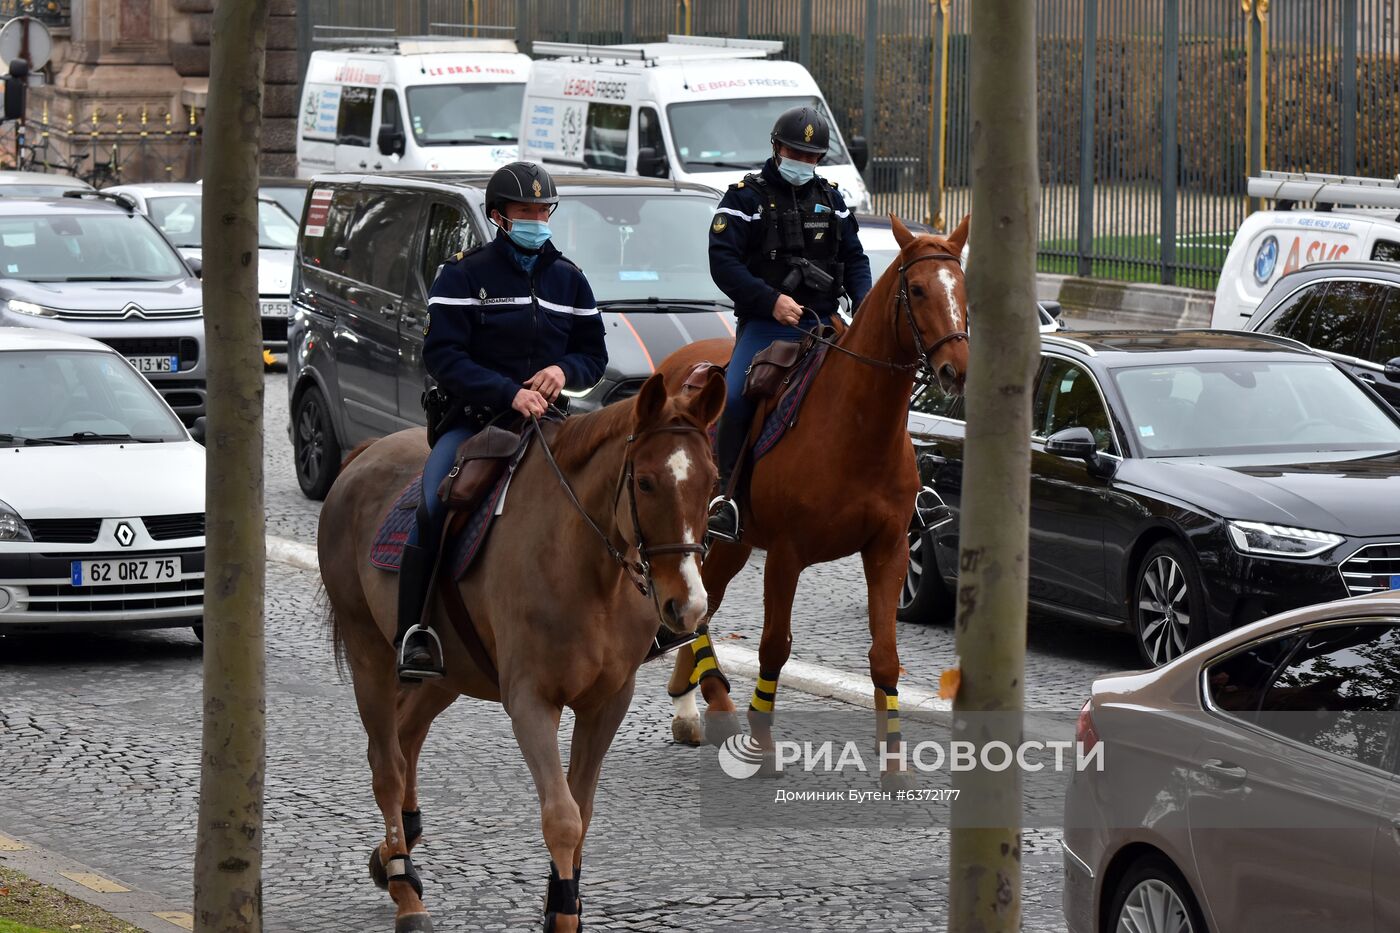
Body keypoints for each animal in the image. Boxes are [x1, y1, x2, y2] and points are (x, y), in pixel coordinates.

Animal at [323, 369, 728, 930]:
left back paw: (391, 855)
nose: (688, 607)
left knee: (407, 737)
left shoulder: (608, 704)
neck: (589, 573)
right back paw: (406, 890)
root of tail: (362, 455)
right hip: (370, 654)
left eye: (711, 482)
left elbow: (583, 811)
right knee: (386, 762)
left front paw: (564, 904)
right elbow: (562, 817)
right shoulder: (531, 702)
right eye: (646, 482)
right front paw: (562, 915)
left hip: (452, 674)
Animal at [658, 212, 968, 784]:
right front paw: (762, 745)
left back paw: (697, 703)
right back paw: (712, 703)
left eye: (962, 287)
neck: (859, 428)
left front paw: (894, 764)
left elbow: (885, 655)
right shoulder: (786, 555)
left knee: (704, 601)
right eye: (916, 289)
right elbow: (773, 648)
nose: (957, 368)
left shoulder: (888, 549)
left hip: (733, 544)